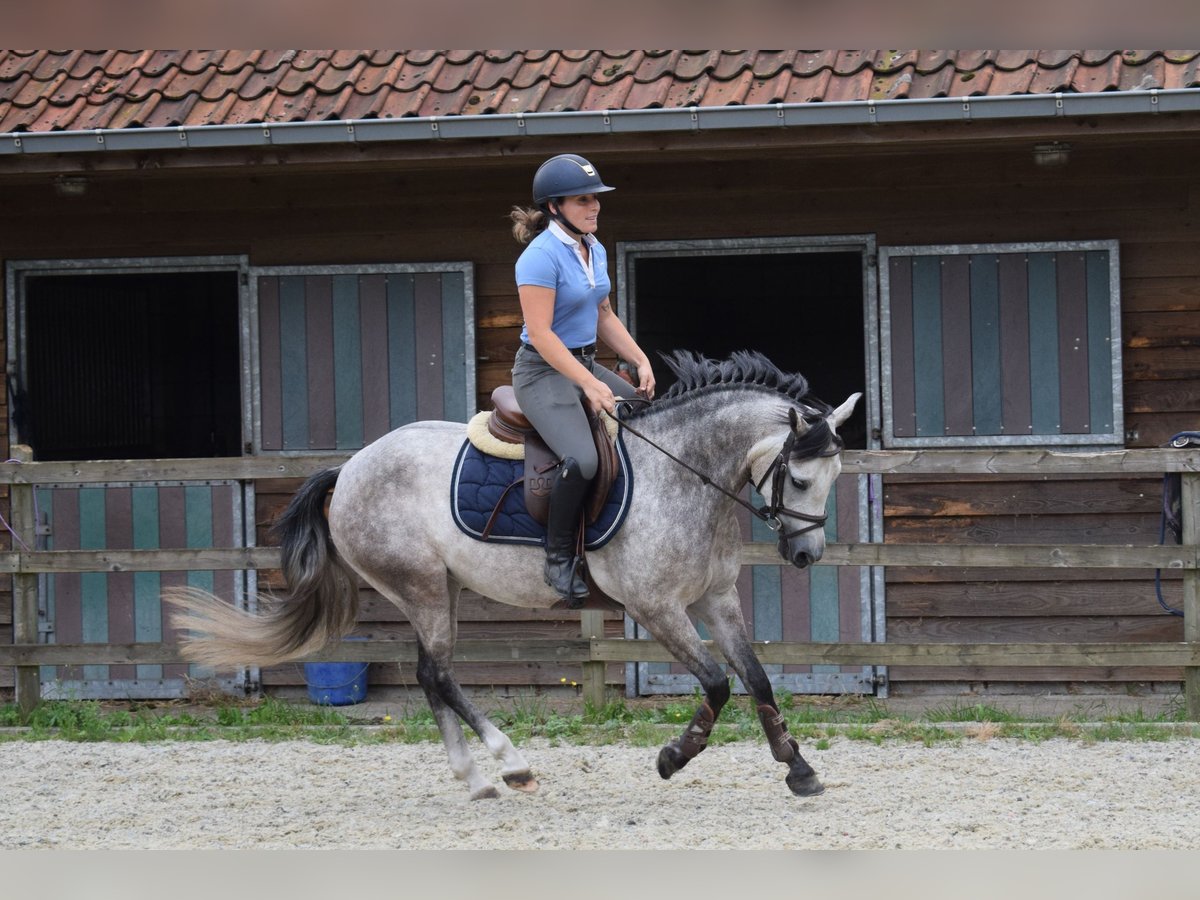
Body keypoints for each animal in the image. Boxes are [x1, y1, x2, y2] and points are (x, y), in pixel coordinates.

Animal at [171, 352, 864, 801]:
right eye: (800, 477)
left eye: (833, 477)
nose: (807, 556)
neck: (685, 472)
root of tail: (350, 468)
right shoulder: (656, 606)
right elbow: (718, 684)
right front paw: (673, 757)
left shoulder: (716, 598)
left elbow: (758, 679)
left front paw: (798, 769)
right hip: (422, 586)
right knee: (438, 674)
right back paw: (509, 765)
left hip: (440, 588)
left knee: (431, 676)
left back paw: (479, 780)